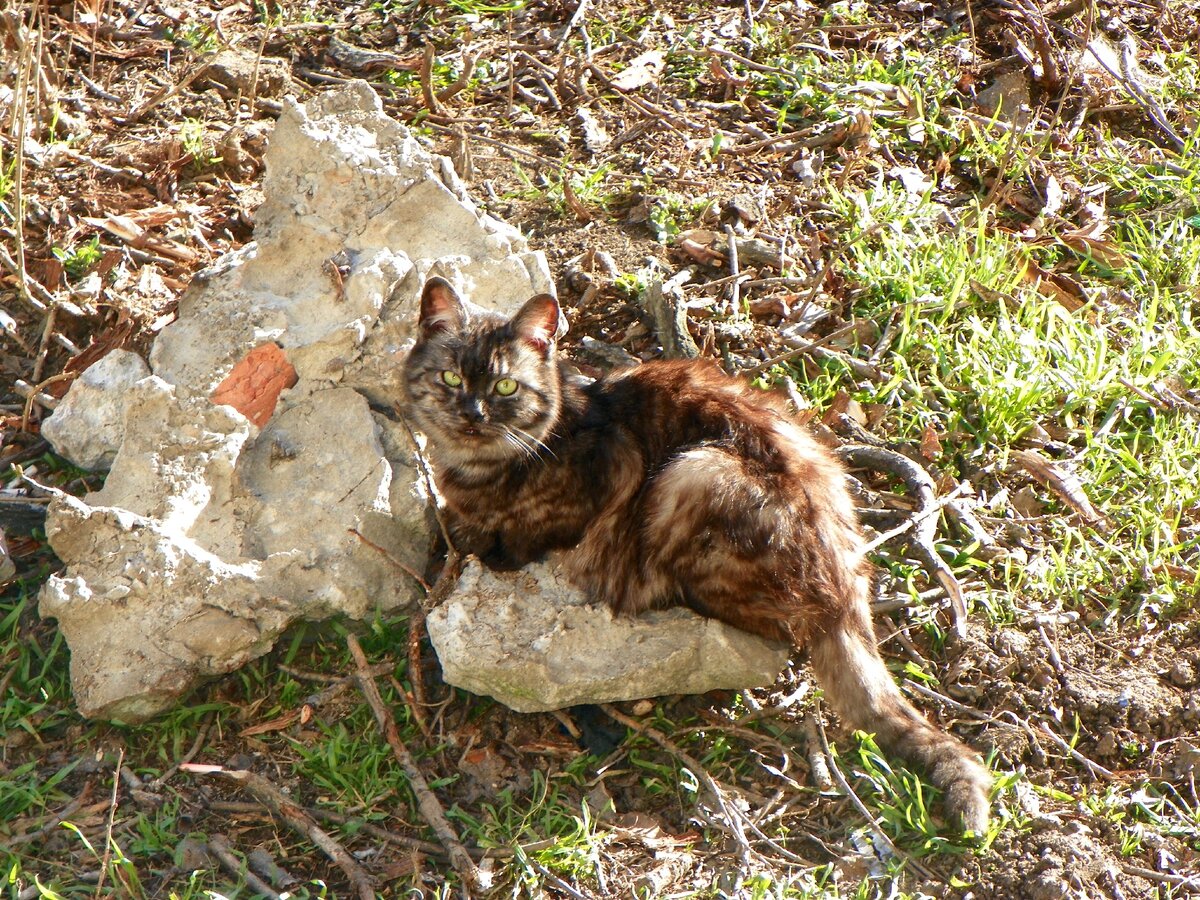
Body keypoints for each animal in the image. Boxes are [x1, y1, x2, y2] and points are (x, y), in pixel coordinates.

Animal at [403, 278, 993, 835]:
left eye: (505, 386)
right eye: (452, 379)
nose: (473, 414)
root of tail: (847, 587)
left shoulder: (610, 469)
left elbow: (516, 533)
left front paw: (485, 542)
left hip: (692, 474)